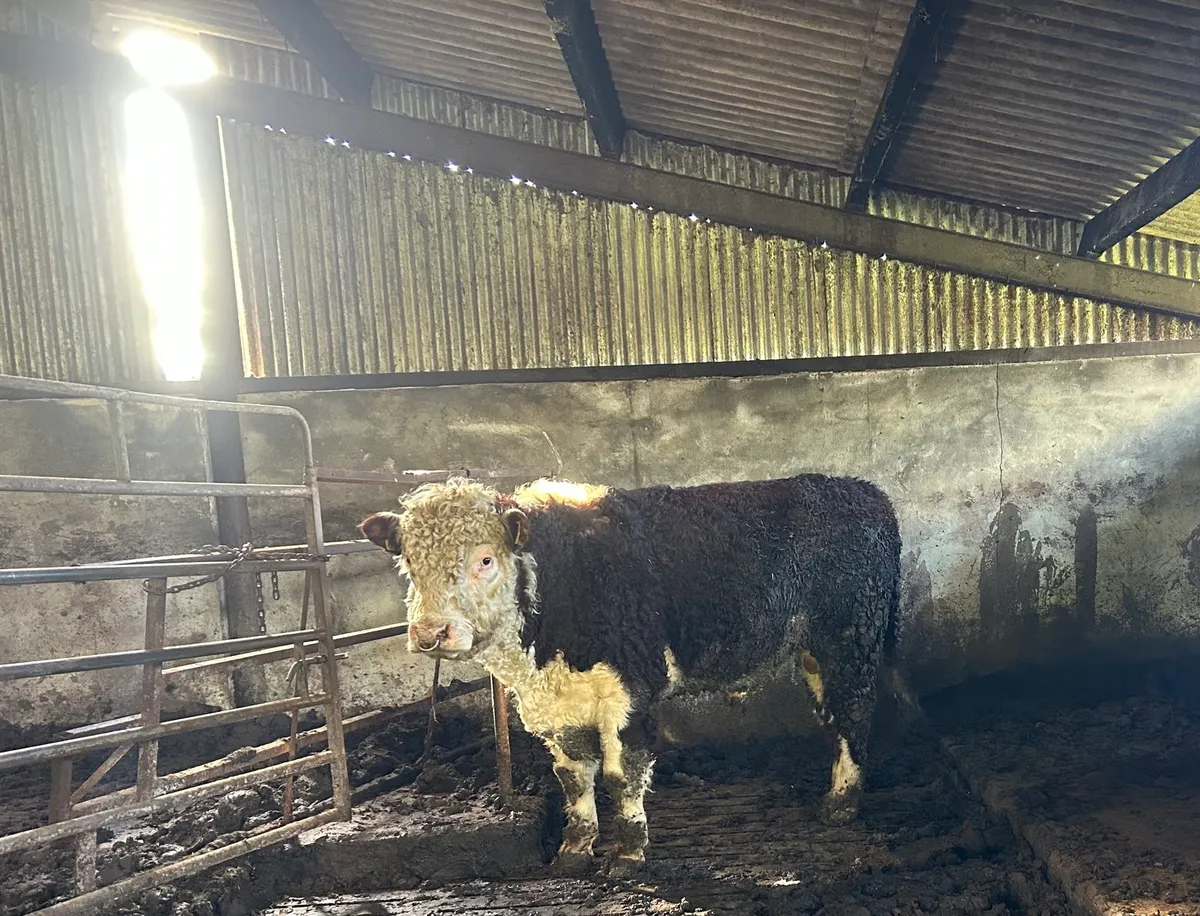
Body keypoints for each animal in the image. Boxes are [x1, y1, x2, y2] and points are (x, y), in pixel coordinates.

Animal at [359, 473, 903, 872]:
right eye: (409, 564)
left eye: (486, 559)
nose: (430, 633)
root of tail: (862, 490)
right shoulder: (558, 706)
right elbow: (573, 778)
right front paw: (574, 850)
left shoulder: (630, 690)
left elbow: (622, 775)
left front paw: (628, 852)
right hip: (815, 654)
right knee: (834, 717)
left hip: (849, 640)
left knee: (853, 715)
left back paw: (841, 803)